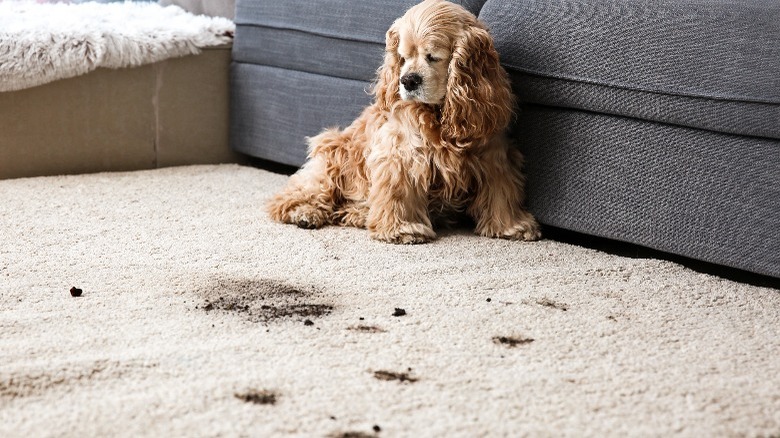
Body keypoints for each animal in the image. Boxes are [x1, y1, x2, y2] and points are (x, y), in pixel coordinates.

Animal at [266, 0, 536, 243]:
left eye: (433, 57)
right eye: (403, 57)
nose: (408, 80)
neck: (439, 115)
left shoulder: (493, 155)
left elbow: (501, 193)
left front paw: (511, 226)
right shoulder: (400, 155)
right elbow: (398, 193)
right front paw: (402, 230)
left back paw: (358, 214)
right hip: (332, 157)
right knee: (294, 194)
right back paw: (304, 212)